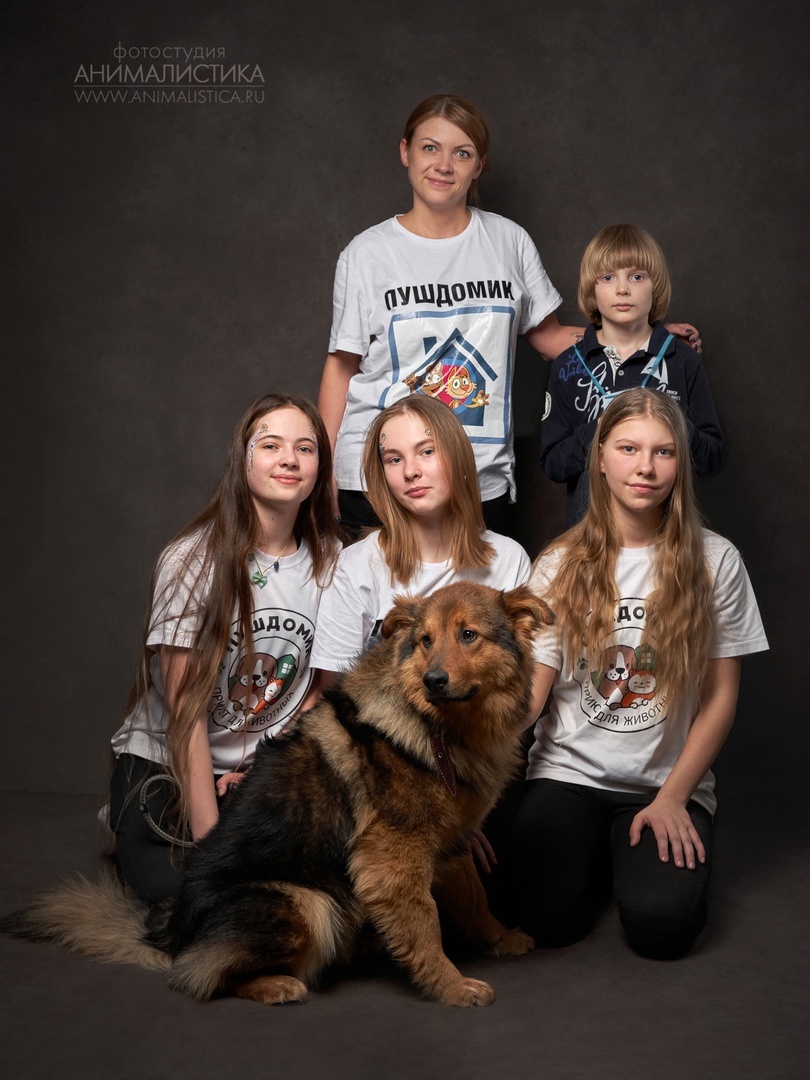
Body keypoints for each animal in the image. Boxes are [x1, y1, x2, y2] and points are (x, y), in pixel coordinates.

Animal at [2, 581, 552, 1007]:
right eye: (424, 641)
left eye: (468, 635)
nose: (434, 680)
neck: (442, 726)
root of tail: (169, 930)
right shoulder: (392, 855)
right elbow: (426, 924)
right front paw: (451, 985)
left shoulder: (450, 839)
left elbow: (474, 896)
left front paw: (500, 937)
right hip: (307, 902)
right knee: (198, 975)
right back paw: (275, 984)